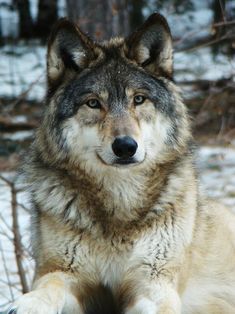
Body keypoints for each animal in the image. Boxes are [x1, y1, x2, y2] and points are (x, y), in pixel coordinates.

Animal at [10, 12, 235, 314]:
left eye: (138, 99)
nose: (126, 146)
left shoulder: (153, 280)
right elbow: (49, 285)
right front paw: (30, 302)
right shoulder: (65, 271)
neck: (119, 203)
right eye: (94, 103)